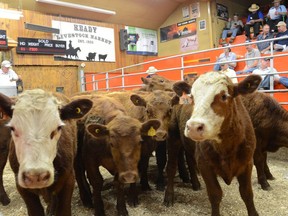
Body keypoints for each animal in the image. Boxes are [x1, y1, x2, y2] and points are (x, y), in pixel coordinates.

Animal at [164, 72, 260, 216]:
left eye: (224, 96)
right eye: (192, 97)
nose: (193, 127)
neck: (226, 146)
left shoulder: (247, 162)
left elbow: (247, 193)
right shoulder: (205, 164)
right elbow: (215, 194)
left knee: (190, 161)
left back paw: (195, 184)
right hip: (173, 138)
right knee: (171, 167)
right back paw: (169, 196)